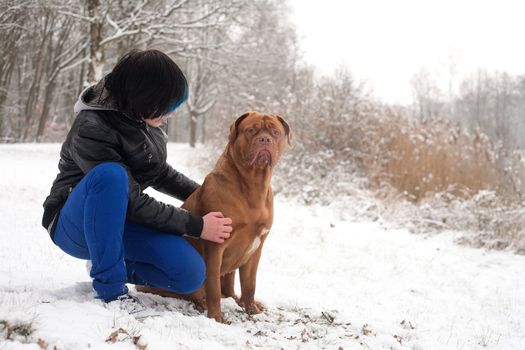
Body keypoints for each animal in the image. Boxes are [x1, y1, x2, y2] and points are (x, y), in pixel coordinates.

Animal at [137, 113, 290, 322]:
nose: (265, 139)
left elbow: (249, 285)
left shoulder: (255, 249)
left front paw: (252, 311)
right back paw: (201, 303)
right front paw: (216, 317)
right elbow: (213, 287)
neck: (253, 184)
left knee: (229, 287)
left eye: (275, 132)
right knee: (194, 291)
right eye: (251, 130)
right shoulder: (216, 246)